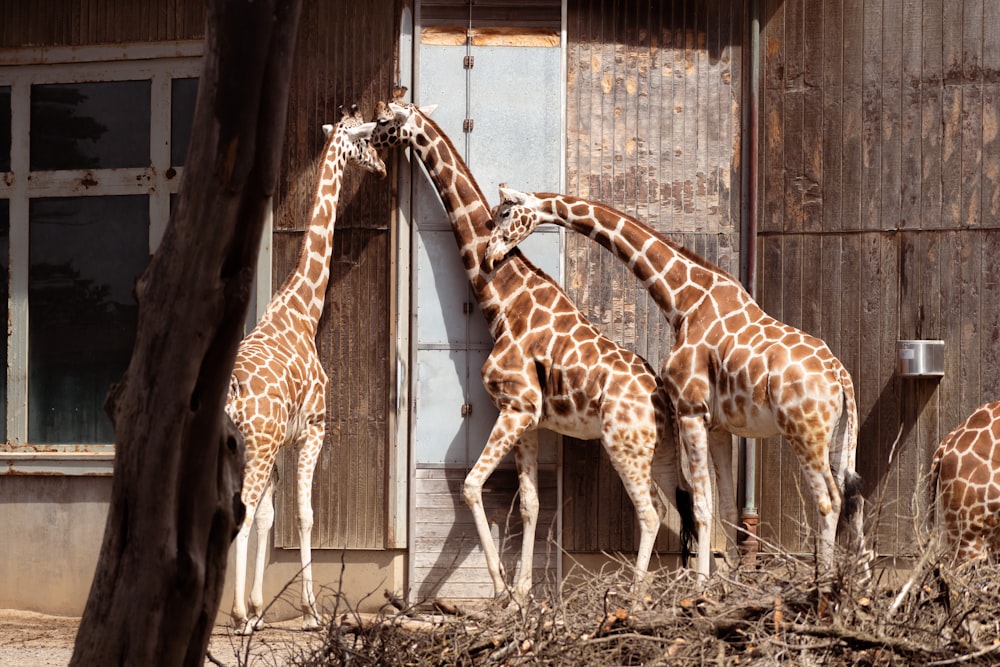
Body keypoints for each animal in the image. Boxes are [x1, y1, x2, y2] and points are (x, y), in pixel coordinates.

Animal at [482, 185, 868, 580]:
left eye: (506, 214)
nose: (489, 255)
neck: (683, 301)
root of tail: (840, 376)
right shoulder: (718, 425)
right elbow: (726, 508)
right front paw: (728, 582)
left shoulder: (690, 410)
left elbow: (700, 506)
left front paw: (701, 586)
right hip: (839, 435)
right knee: (852, 497)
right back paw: (858, 584)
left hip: (804, 432)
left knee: (828, 500)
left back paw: (824, 584)